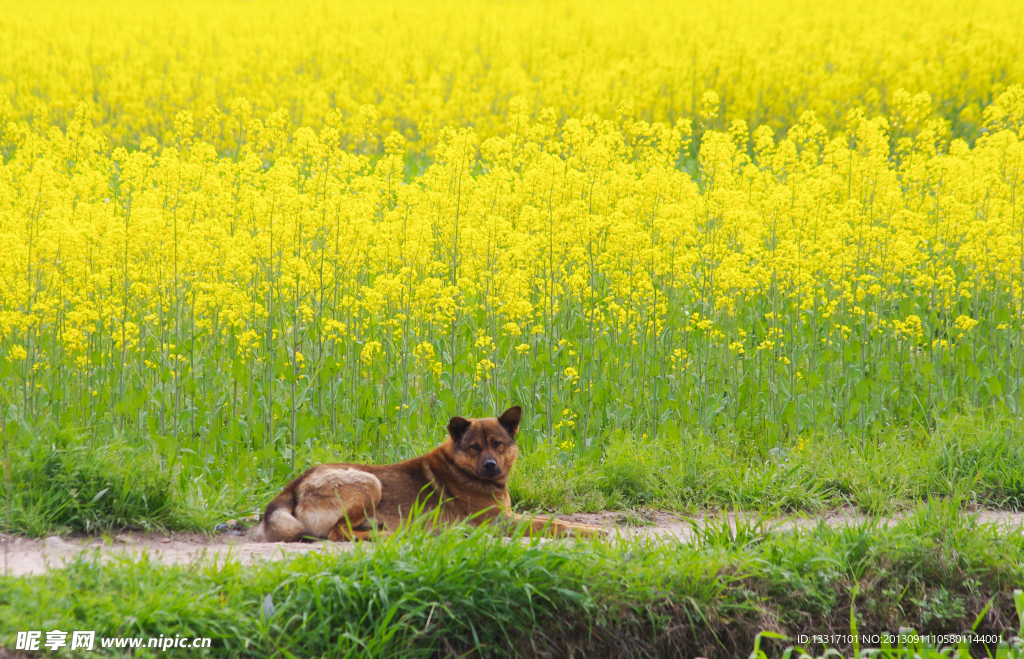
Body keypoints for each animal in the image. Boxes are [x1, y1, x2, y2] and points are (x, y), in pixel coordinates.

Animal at [254, 407, 602, 540]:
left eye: (498, 444)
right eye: (475, 447)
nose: (491, 466)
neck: (463, 470)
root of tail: (294, 485)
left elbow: (553, 519)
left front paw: (589, 528)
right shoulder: (498, 522)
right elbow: (551, 523)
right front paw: (589, 532)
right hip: (370, 483)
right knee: (338, 532)